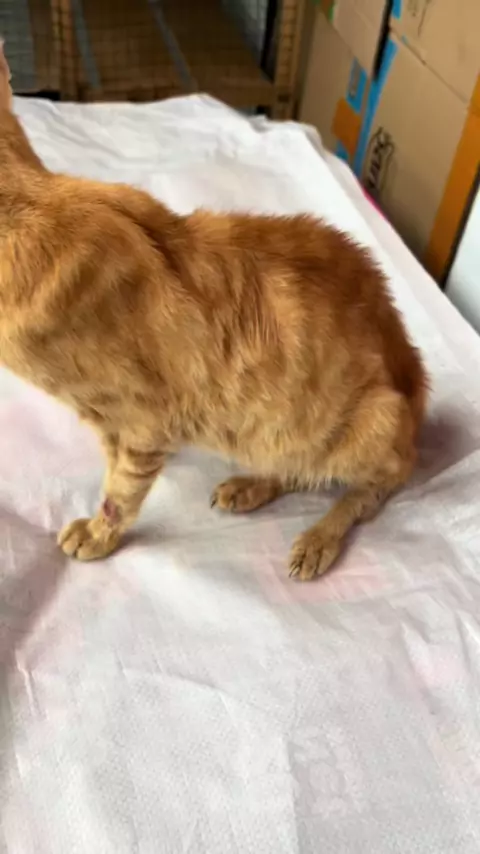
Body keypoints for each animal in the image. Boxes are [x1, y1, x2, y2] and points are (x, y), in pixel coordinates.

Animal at [0, 42, 427, 580]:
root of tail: (413, 377)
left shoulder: (142, 419)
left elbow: (120, 490)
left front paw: (99, 534)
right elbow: (115, 461)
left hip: (374, 422)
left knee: (376, 482)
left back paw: (318, 538)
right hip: (286, 430)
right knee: (298, 465)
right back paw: (251, 485)